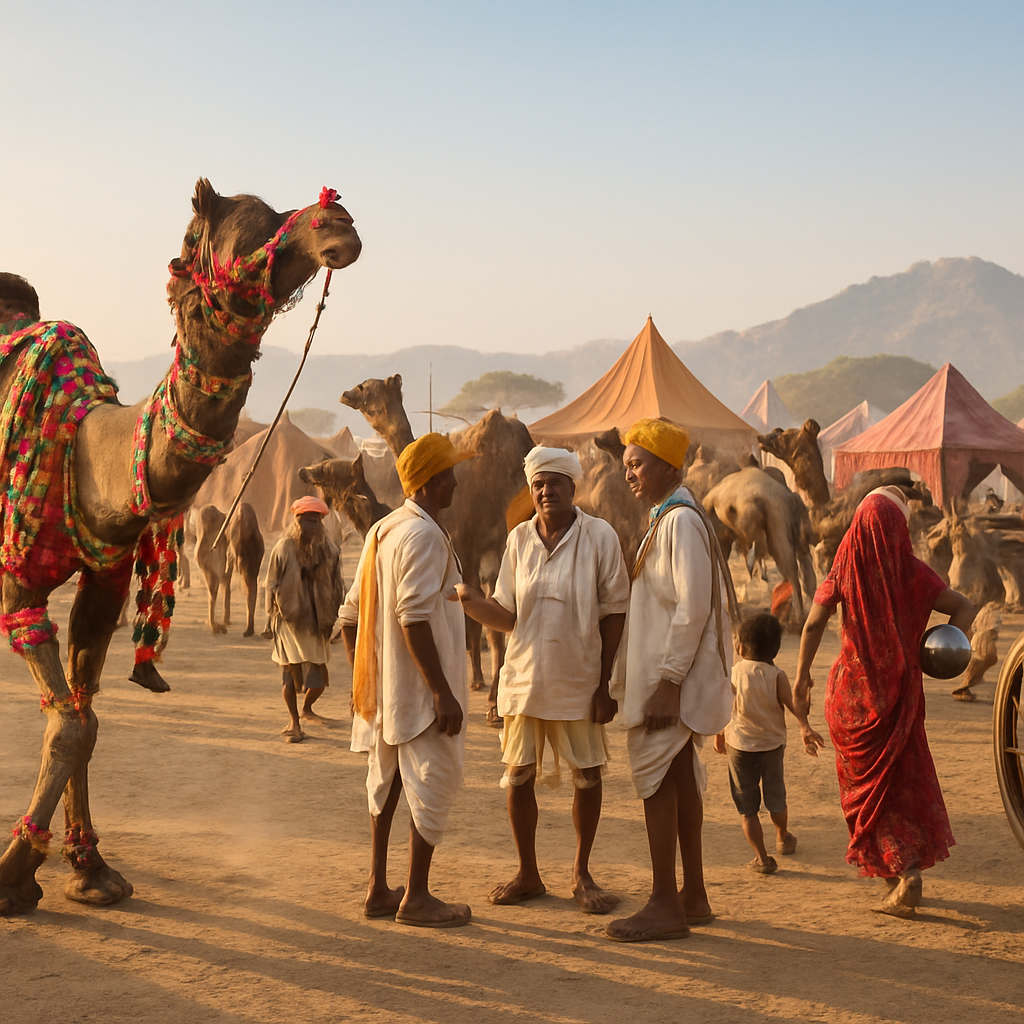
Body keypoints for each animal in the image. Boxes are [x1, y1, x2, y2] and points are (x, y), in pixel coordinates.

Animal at [0, 180, 360, 916]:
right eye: (251, 220)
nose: (338, 222)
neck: (83, 445)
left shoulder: (104, 580)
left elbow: (84, 720)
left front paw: (90, 870)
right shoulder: (20, 579)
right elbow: (69, 725)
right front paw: (16, 872)